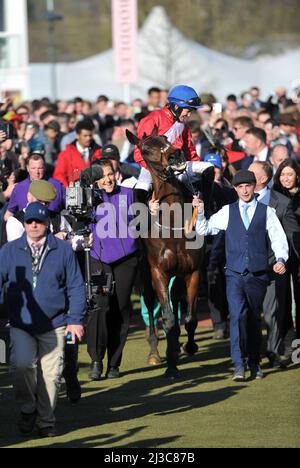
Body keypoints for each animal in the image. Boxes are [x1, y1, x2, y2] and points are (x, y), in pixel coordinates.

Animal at [126, 127, 206, 376]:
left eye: (166, 139)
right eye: (145, 149)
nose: (175, 155)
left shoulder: (193, 270)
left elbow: (189, 318)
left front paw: (189, 346)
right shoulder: (158, 272)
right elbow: (168, 319)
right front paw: (171, 365)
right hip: (144, 273)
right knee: (151, 304)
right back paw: (154, 351)